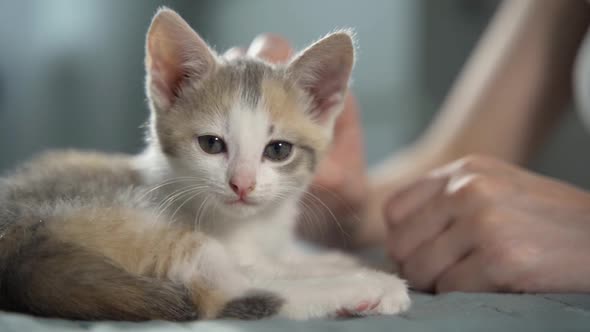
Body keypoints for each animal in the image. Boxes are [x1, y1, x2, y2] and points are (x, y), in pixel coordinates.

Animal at [0, 6, 410, 320]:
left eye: (278, 150)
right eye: (211, 144)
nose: (242, 184)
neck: (251, 225)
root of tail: (15, 253)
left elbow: (290, 257)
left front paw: (337, 259)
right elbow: (267, 269)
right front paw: (360, 274)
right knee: (225, 294)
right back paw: (367, 289)